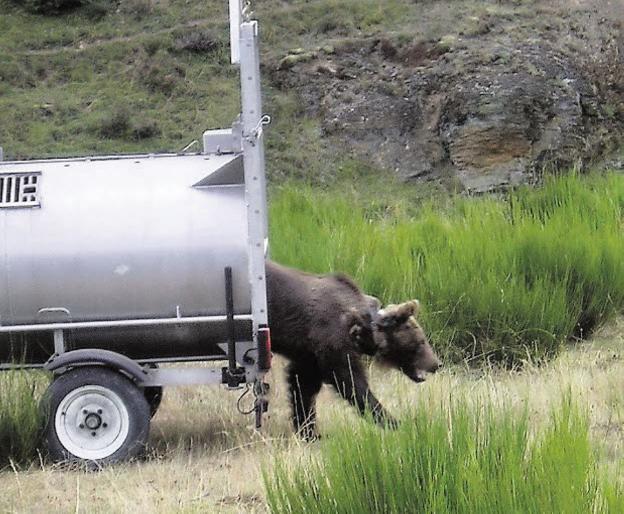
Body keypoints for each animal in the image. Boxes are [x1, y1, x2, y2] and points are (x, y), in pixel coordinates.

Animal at [266, 258, 442, 438]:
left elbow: (303, 384)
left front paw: (309, 430)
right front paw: (394, 422)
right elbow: (351, 381)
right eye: (421, 341)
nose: (436, 364)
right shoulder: (331, 340)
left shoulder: (309, 354)